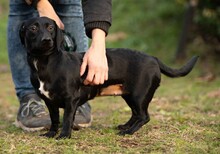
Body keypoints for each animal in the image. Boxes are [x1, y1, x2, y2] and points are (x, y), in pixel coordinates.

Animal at [19, 16, 198, 139]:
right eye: (33, 28)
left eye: (50, 27)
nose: (47, 40)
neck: (45, 63)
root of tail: (153, 58)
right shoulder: (50, 102)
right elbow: (55, 119)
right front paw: (50, 134)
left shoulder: (71, 99)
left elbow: (67, 119)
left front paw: (63, 136)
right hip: (130, 95)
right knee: (136, 114)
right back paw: (125, 127)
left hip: (139, 95)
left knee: (144, 116)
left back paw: (128, 132)